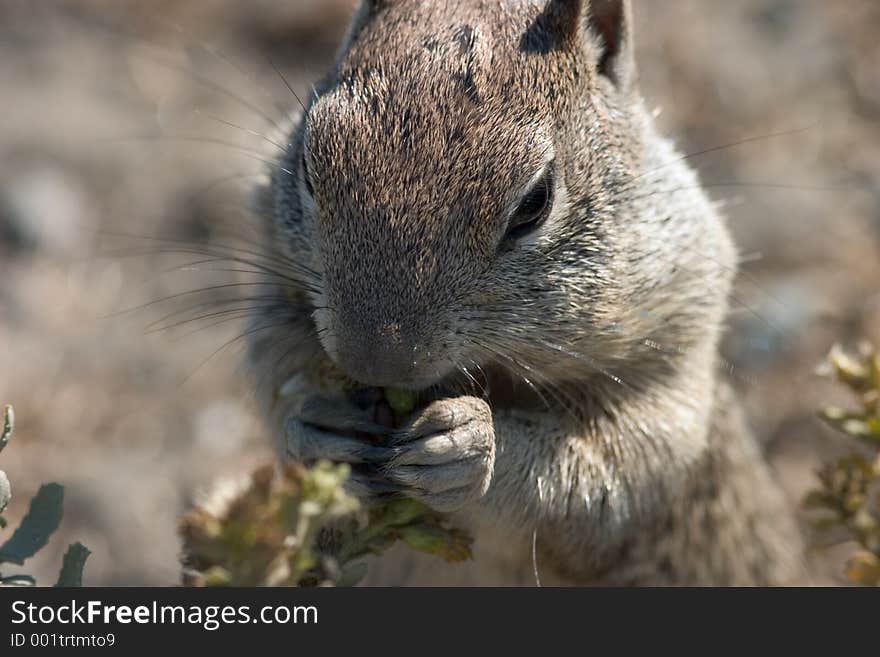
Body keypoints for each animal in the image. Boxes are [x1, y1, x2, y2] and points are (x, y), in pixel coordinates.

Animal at [246, 0, 804, 584]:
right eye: (308, 166)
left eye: (535, 202)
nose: (375, 363)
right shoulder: (275, 286)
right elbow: (273, 373)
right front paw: (314, 430)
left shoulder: (677, 340)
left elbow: (609, 470)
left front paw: (471, 444)